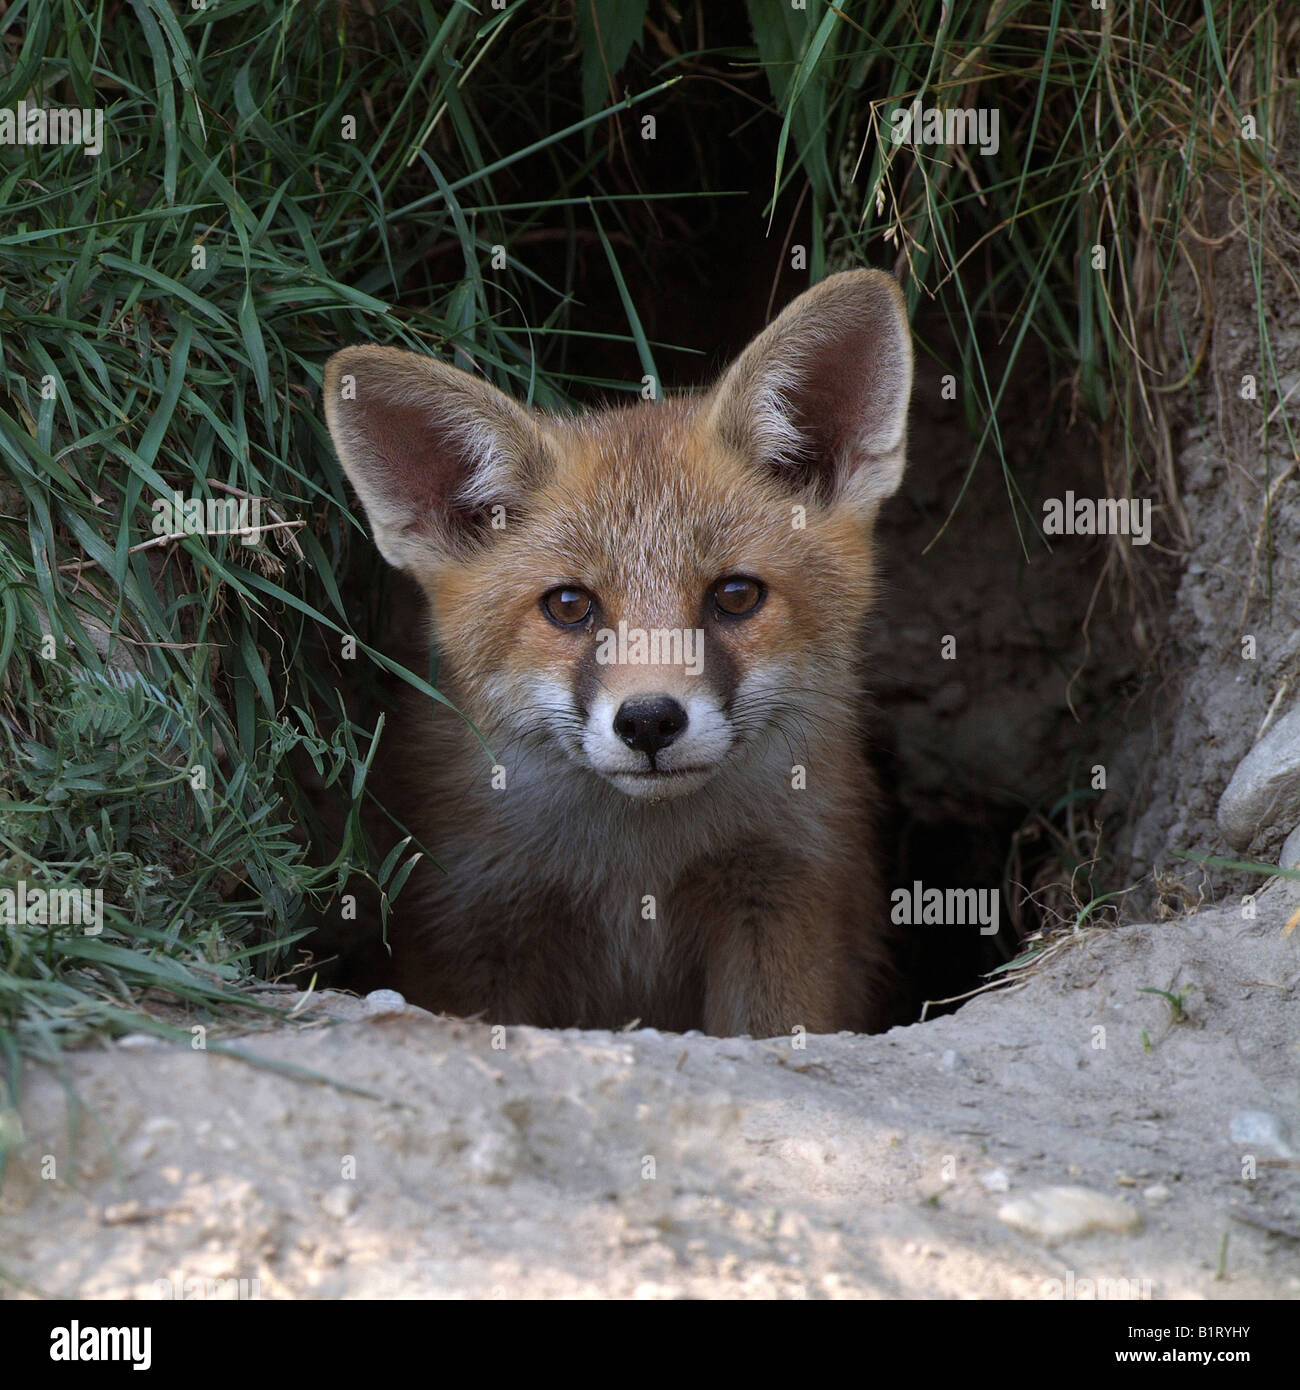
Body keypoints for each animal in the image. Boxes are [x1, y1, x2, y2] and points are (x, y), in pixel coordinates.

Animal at [325, 268, 917, 1034]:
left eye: (735, 595)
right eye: (569, 606)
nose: (649, 722)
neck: (637, 871)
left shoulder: (784, 896)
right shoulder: (471, 920)